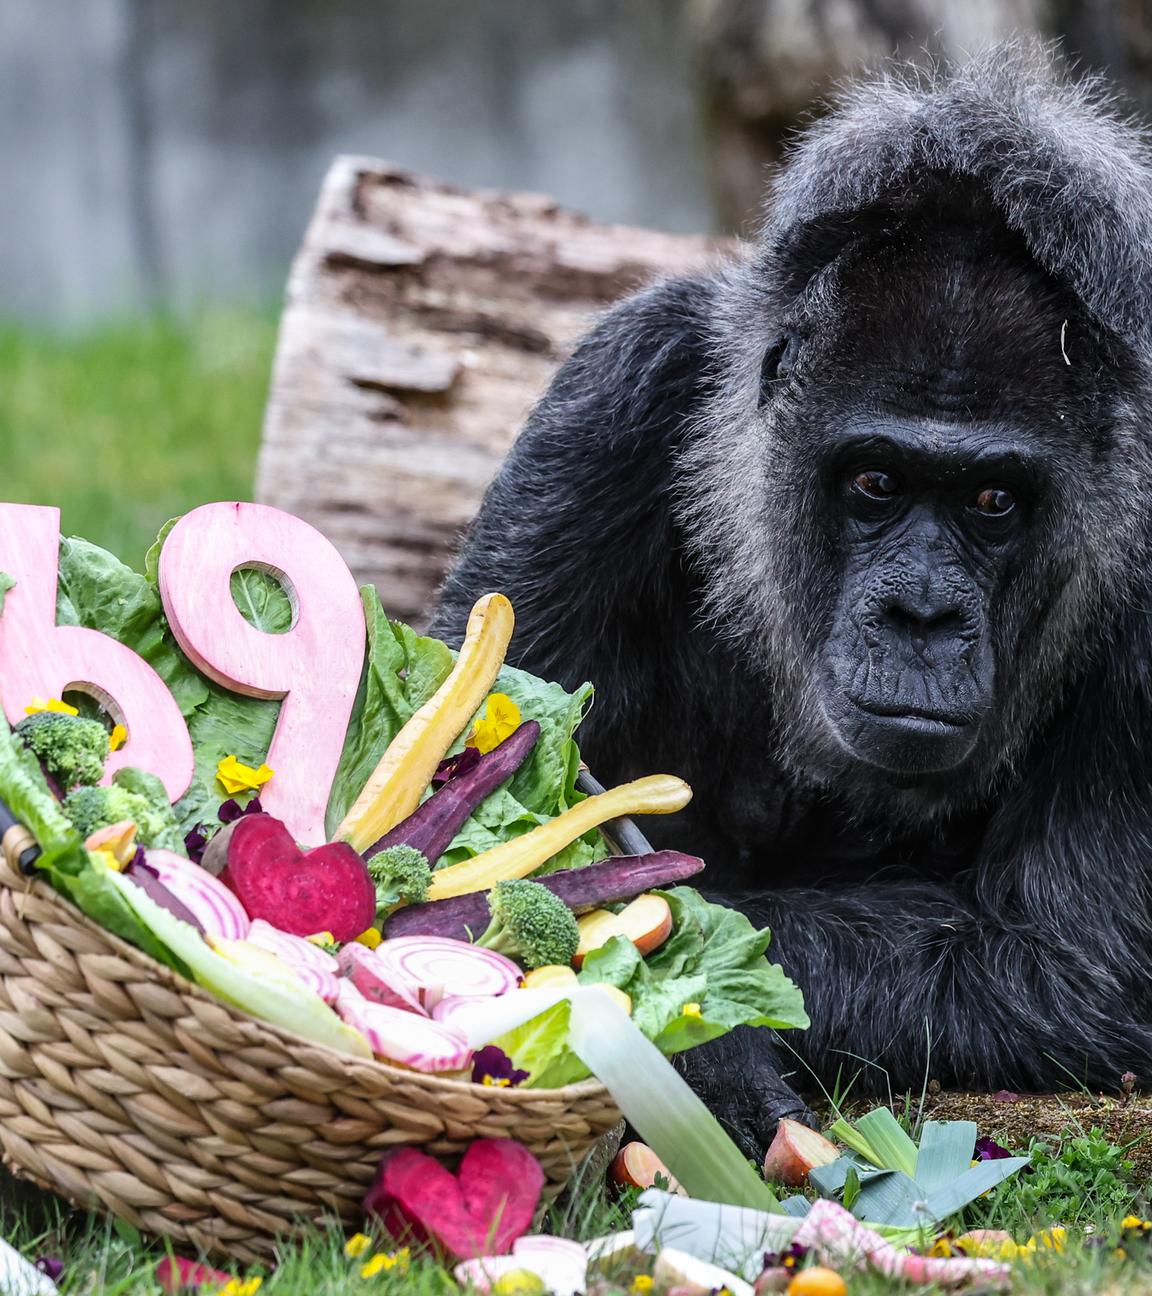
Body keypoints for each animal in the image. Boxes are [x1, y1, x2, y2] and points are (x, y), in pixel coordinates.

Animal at [430, 47, 1152, 1154]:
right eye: (875, 483)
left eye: (994, 501)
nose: (921, 617)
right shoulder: (618, 387)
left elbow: (1066, 965)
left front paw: (693, 1018)